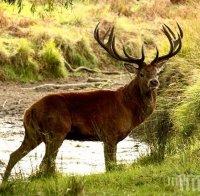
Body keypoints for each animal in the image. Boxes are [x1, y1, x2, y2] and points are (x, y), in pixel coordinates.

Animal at [1, 22, 183, 181]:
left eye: (156, 72)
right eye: (142, 74)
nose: (154, 82)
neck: (128, 108)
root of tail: (28, 111)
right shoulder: (109, 133)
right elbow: (110, 166)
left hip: (33, 134)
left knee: (15, 155)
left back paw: (7, 182)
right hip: (56, 132)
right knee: (45, 163)